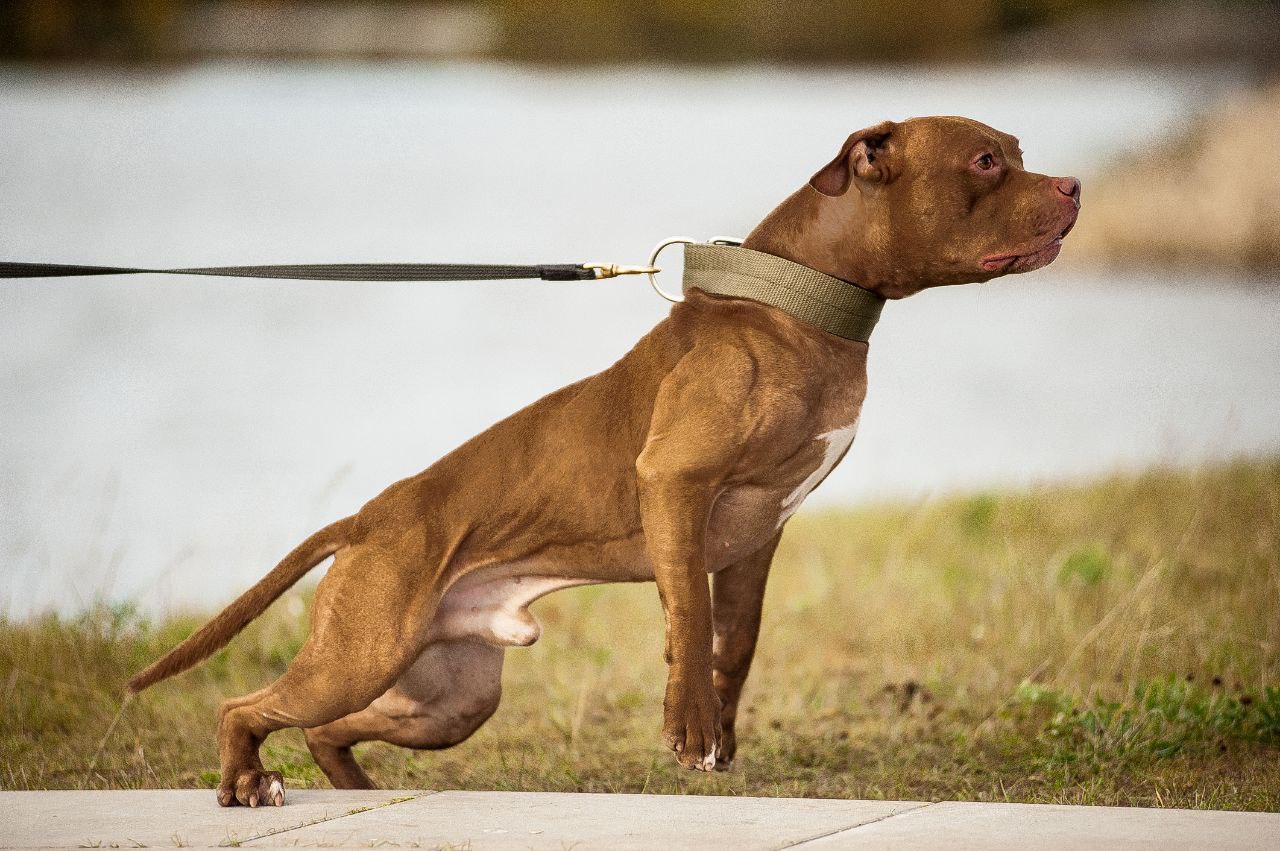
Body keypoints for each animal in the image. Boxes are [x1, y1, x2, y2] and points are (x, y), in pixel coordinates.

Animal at [129, 114, 1080, 803]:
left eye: (1018, 153)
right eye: (986, 160)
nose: (1074, 184)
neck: (800, 307)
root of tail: (367, 517)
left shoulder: (758, 533)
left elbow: (735, 639)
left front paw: (723, 729)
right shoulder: (675, 484)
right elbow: (688, 617)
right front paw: (691, 728)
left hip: (445, 697)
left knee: (328, 726)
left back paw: (354, 788)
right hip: (360, 651)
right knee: (245, 705)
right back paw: (245, 784)